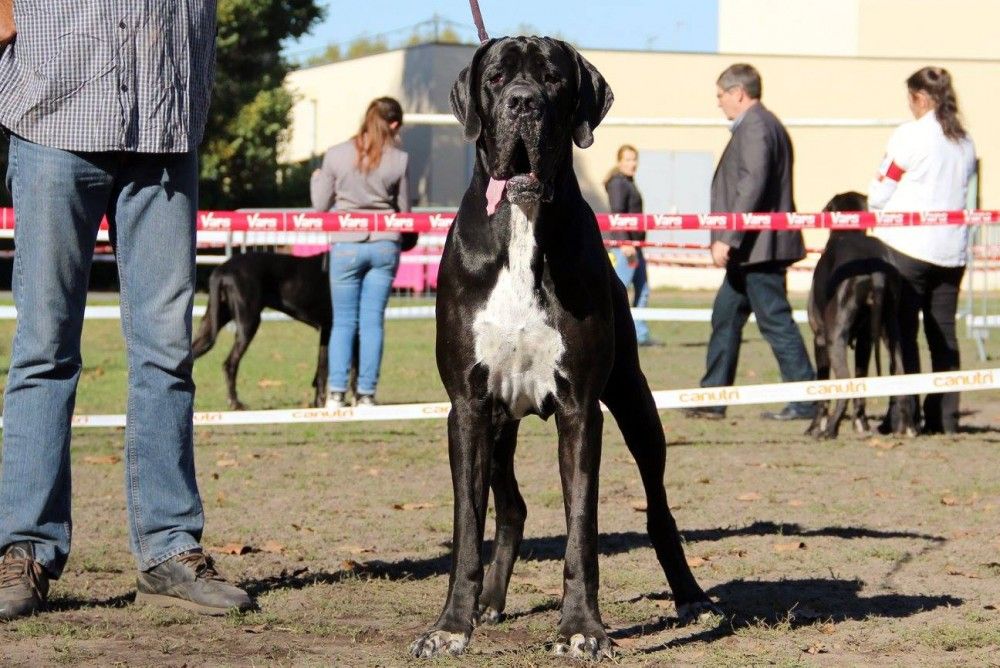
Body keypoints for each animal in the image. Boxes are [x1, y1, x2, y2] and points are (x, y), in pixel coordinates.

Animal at [192, 252, 332, 410]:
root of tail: (222, 269)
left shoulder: (327, 331)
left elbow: (321, 368)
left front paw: (320, 402)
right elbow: (329, 369)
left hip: (212, 323)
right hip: (248, 322)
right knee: (229, 364)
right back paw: (235, 403)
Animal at [409, 37, 713, 661]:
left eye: (554, 80)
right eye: (497, 79)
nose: (523, 103)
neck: (524, 223)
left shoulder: (580, 409)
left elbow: (581, 530)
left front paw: (581, 629)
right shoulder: (468, 409)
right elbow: (467, 526)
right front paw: (451, 625)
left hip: (636, 405)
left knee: (658, 508)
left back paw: (691, 595)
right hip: (499, 423)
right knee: (512, 508)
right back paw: (490, 601)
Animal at [805, 192, 915, 438]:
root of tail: (876, 270)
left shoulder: (819, 338)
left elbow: (823, 390)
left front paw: (815, 426)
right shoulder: (865, 341)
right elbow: (861, 382)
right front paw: (861, 424)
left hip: (834, 337)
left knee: (844, 384)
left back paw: (830, 430)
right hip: (891, 331)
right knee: (901, 371)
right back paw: (905, 428)